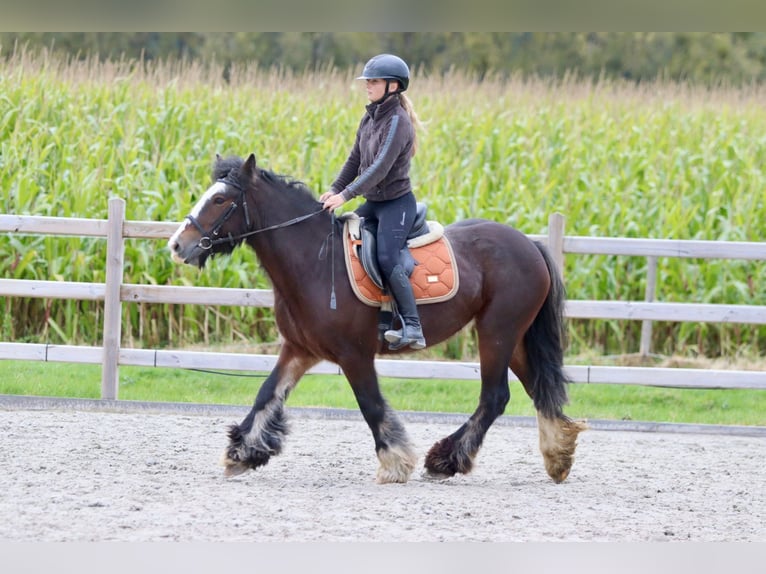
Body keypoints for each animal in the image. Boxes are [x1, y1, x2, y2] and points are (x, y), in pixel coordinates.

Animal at [168, 154, 588, 486]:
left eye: (220, 199)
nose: (176, 245)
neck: (315, 261)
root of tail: (528, 244)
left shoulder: (354, 355)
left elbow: (370, 404)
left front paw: (395, 463)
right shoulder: (299, 350)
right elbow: (266, 394)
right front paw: (241, 453)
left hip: (497, 332)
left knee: (495, 396)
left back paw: (446, 460)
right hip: (513, 337)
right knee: (538, 390)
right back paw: (558, 455)